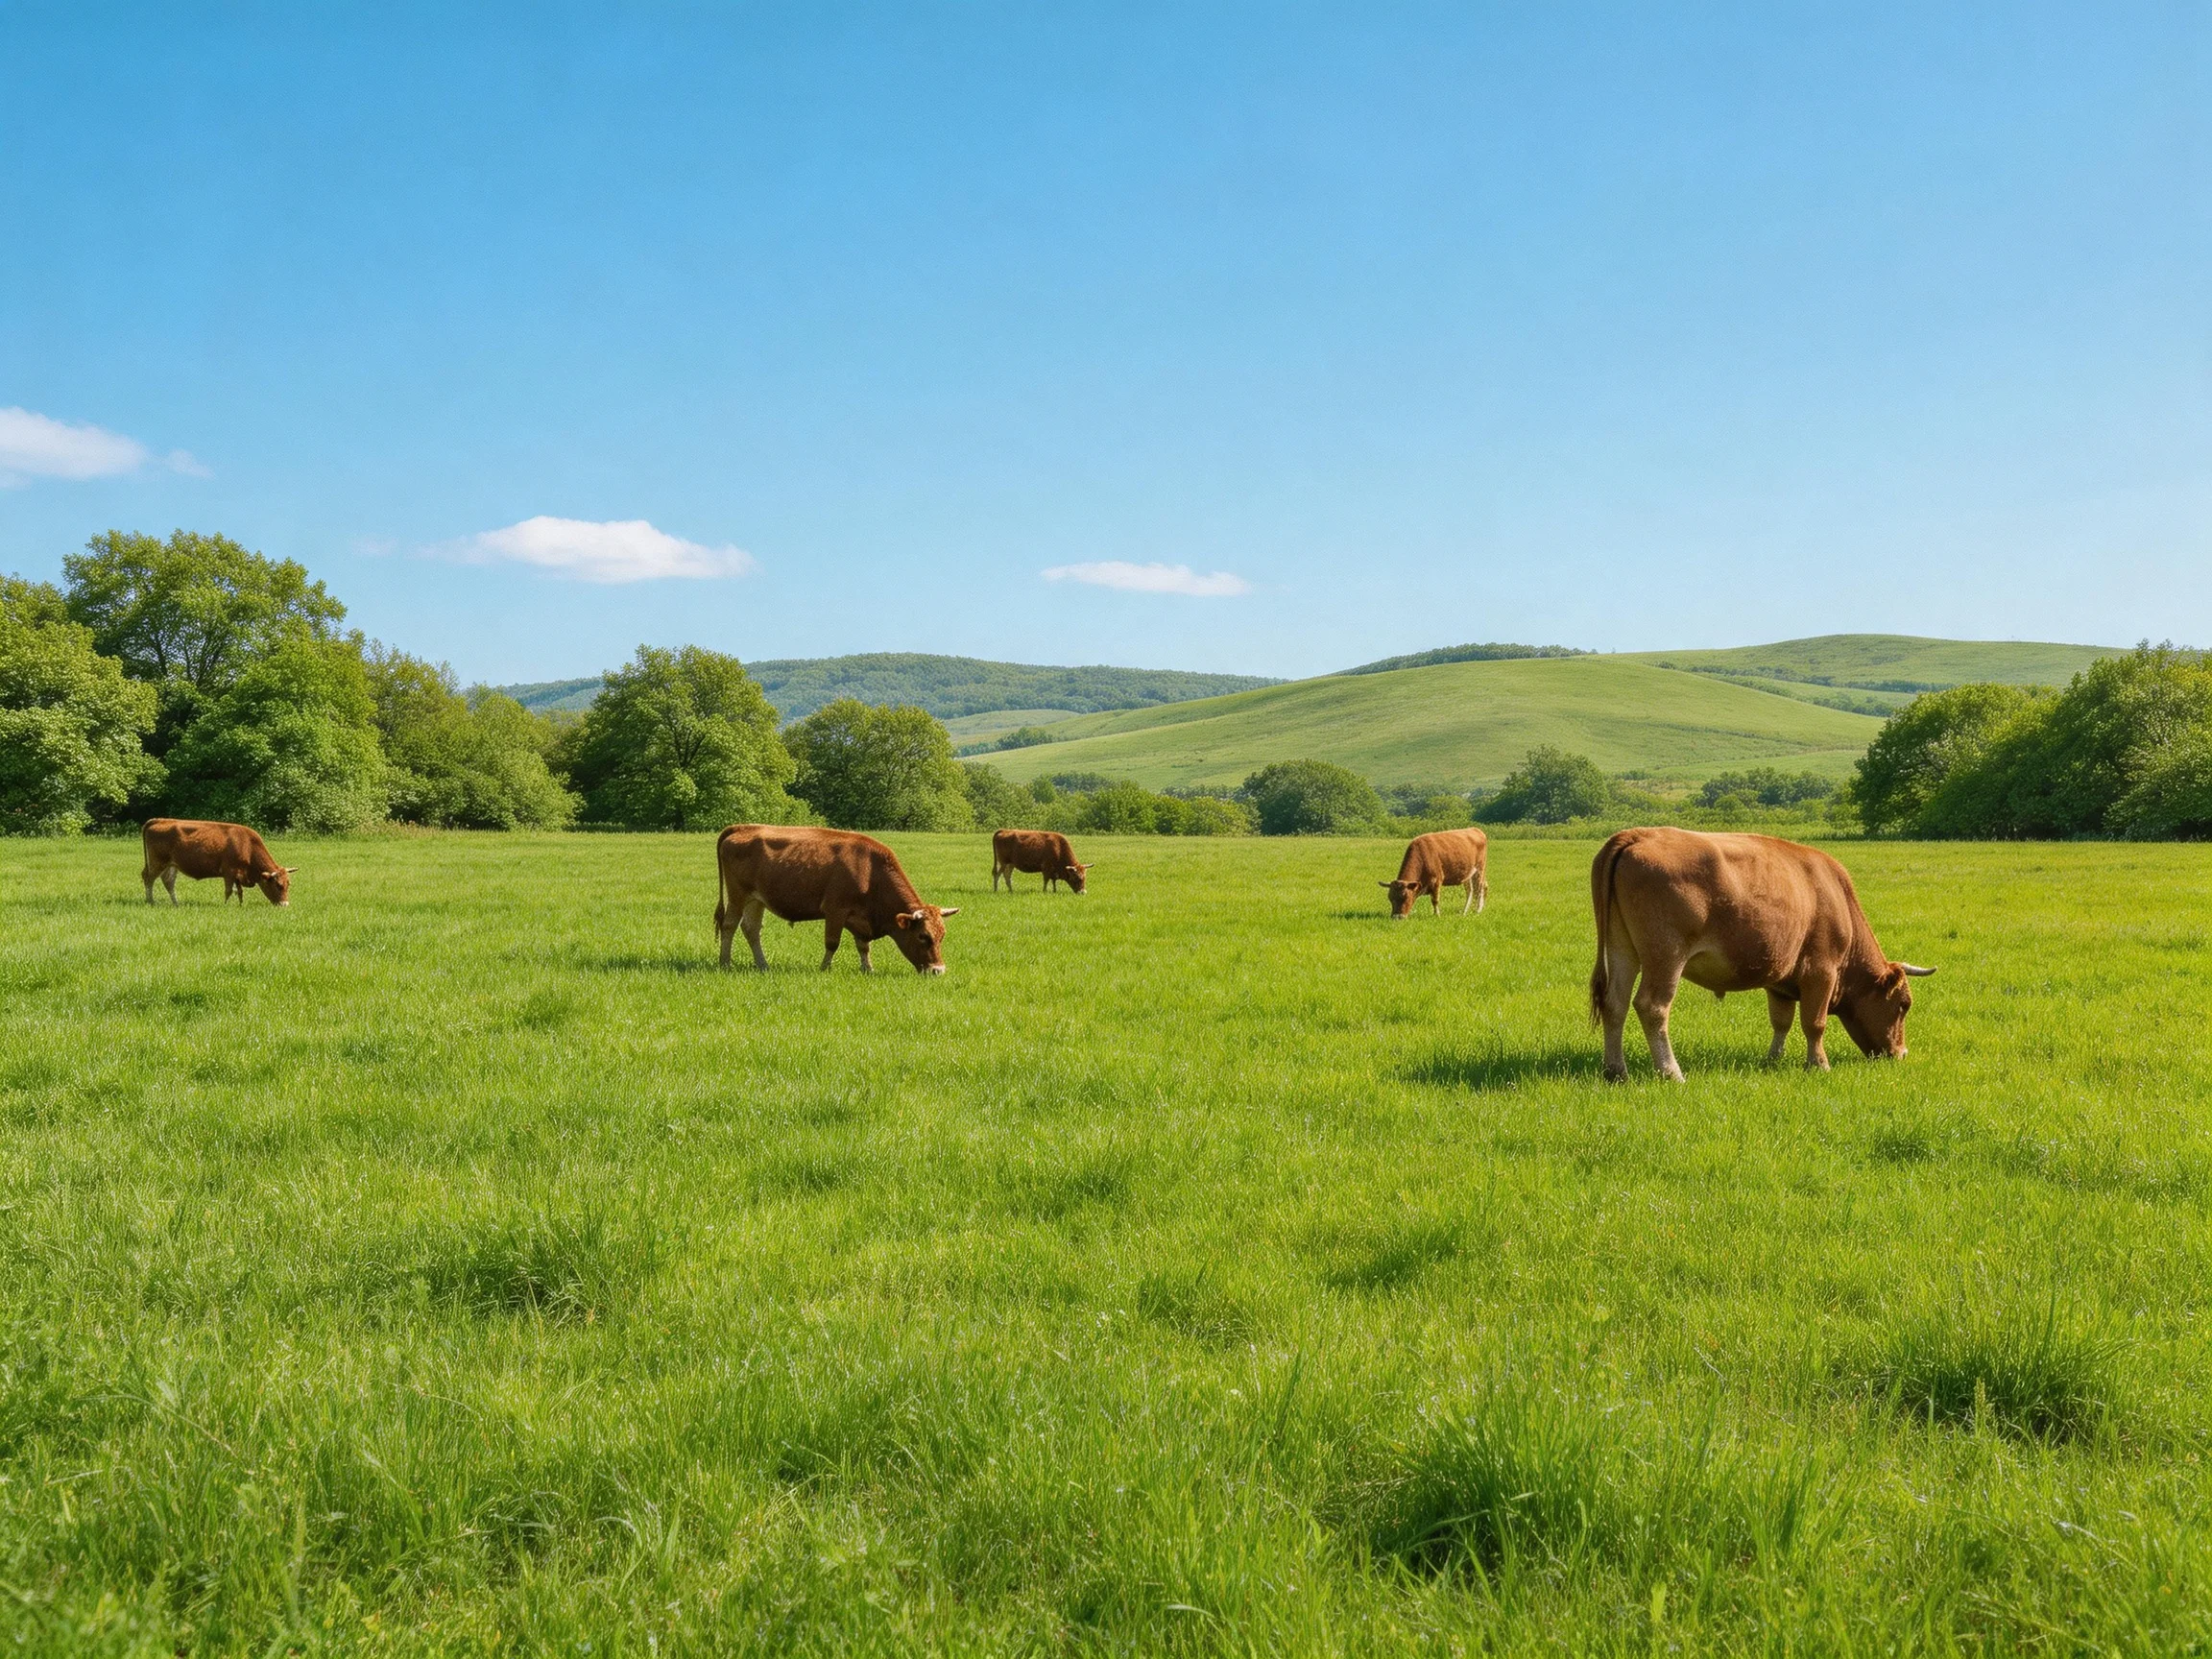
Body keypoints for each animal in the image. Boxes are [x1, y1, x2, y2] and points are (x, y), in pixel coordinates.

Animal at [141, 818, 294, 907]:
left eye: (288, 884)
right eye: (278, 885)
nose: (285, 904)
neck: (247, 845)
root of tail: (160, 820)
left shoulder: (238, 875)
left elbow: (239, 892)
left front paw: (240, 905)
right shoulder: (229, 872)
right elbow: (228, 891)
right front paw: (225, 905)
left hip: (171, 865)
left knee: (168, 882)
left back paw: (176, 903)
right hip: (157, 863)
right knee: (148, 878)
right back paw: (150, 901)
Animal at [715, 824, 959, 974]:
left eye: (942, 936)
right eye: (922, 936)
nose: (938, 970)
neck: (870, 871)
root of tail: (743, 827)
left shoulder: (860, 919)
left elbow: (864, 946)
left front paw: (867, 968)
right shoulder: (835, 910)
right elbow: (832, 942)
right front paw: (824, 968)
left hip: (756, 900)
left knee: (751, 929)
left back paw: (763, 964)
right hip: (737, 896)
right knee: (729, 925)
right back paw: (725, 962)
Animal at [1589, 826, 1933, 1081]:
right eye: (1903, 1005)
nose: (1901, 1054)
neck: (1837, 898)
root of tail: (1637, 835)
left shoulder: (1779, 981)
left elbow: (1781, 1021)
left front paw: (1772, 1060)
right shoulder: (1822, 972)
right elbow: (1815, 1022)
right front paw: (1819, 1064)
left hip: (1622, 951)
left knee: (1615, 1004)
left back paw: (1616, 1071)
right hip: (1665, 957)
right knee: (1653, 1007)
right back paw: (1671, 1072)